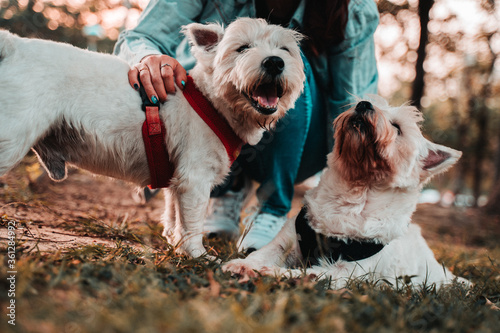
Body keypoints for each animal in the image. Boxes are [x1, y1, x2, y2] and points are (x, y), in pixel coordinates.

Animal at [0, 17, 304, 256]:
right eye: (242, 48)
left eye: (285, 50)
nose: (274, 63)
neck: (213, 101)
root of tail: (13, 46)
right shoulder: (195, 179)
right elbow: (193, 223)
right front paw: (198, 256)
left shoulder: (176, 181)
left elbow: (174, 218)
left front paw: (176, 246)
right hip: (11, 139)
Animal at [225, 97, 470, 290]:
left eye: (397, 127)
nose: (363, 104)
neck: (353, 195)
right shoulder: (286, 241)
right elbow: (261, 253)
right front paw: (243, 264)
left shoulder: (345, 272)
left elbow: (306, 274)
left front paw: (269, 273)